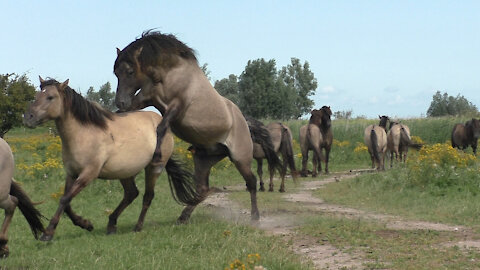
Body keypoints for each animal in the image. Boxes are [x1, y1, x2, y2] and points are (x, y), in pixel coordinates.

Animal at [22, 77, 199, 242]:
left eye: (50, 97)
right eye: (37, 95)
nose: (28, 117)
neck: (83, 134)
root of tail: (161, 122)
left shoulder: (88, 174)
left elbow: (65, 199)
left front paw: (48, 233)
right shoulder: (71, 174)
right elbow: (67, 202)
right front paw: (85, 224)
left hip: (154, 168)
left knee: (147, 196)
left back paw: (137, 227)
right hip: (126, 172)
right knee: (131, 194)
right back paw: (112, 224)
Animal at [114, 31, 260, 221]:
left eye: (130, 71)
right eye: (116, 72)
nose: (121, 102)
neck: (169, 75)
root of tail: (244, 122)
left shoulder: (176, 107)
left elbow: (161, 127)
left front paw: (157, 155)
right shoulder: (144, 100)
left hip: (240, 159)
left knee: (251, 182)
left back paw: (255, 216)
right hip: (204, 160)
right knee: (203, 189)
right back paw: (183, 216)